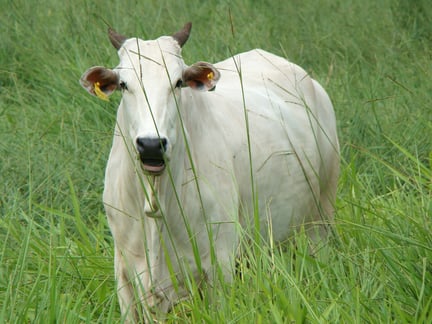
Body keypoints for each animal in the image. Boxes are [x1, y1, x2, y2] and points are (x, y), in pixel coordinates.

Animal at [80, 22, 338, 322]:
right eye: (123, 85)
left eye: (178, 82)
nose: (151, 145)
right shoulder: (124, 272)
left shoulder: (219, 267)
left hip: (321, 218)